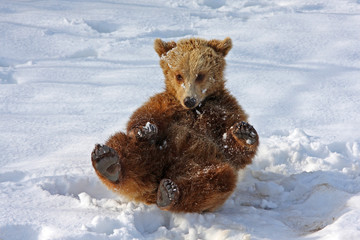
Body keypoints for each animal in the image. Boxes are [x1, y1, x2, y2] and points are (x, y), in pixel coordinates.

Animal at [91, 36, 258, 213]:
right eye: (179, 76)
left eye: (200, 75)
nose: (189, 100)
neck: (196, 109)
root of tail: (153, 186)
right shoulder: (166, 103)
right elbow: (143, 115)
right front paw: (145, 130)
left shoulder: (224, 109)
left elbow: (235, 151)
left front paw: (245, 133)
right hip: (152, 152)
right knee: (121, 144)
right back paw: (107, 161)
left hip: (203, 164)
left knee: (216, 181)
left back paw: (168, 193)